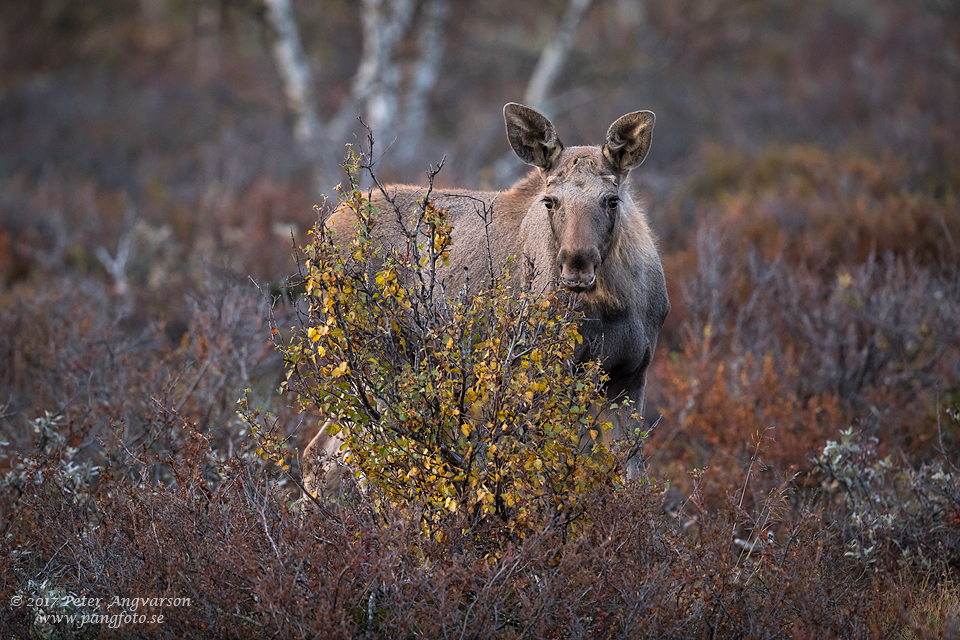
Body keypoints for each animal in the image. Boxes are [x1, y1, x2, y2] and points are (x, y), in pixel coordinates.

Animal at [304, 102, 672, 498]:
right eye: (550, 201)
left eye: (612, 199)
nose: (576, 264)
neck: (611, 307)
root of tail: (323, 233)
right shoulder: (542, 373)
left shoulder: (630, 375)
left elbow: (629, 479)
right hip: (373, 359)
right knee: (365, 459)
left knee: (325, 451)